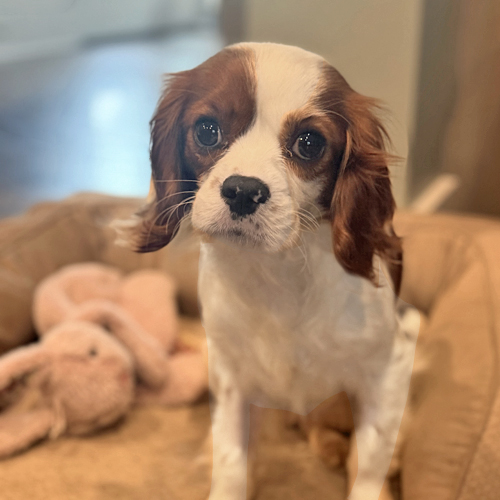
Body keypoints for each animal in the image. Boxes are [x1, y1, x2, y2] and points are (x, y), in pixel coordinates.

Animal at [126, 42, 417, 500]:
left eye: (309, 143)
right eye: (207, 131)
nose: (243, 190)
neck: (278, 270)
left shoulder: (390, 369)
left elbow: (371, 460)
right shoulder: (230, 376)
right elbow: (231, 457)